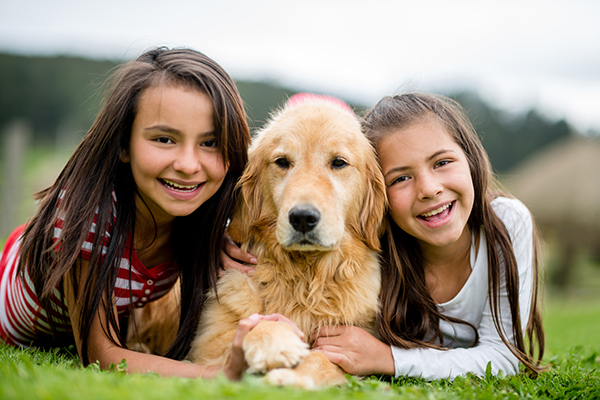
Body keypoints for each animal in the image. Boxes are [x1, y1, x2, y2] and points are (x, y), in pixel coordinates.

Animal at [185, 94, 386, 388]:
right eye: (282, 161)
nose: (302, 218)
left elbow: (321, 360)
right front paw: (276, 342)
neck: (304, 276)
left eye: (338, 162)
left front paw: (290, 376)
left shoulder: (346, 345)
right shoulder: (207, 349)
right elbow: (251, 324)